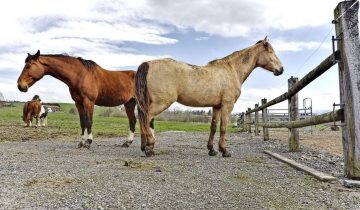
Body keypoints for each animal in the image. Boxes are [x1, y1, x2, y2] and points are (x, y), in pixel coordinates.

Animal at [135, 36, 284, 158]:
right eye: (270, 51)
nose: (281, 69)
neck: (231, 70)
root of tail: (148, 63)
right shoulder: (227, 105)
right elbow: (223, 127)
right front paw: (224, 150)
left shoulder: (216, 106)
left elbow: (213, 127)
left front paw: (212, 150)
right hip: (161, 103)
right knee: (146, 117)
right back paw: (149, 147)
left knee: (141, 117)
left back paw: (144, 147)